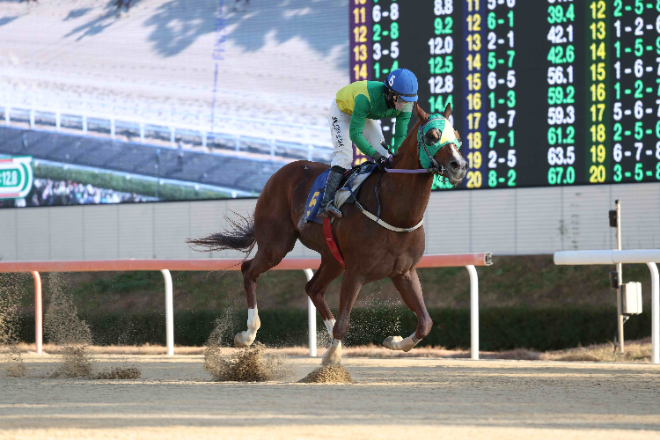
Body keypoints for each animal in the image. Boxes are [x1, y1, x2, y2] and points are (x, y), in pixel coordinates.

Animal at [189, 103, 468, 365]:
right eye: (432, 136)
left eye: (456, 134)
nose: (460, 166)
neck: (393, 210)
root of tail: (281, 172)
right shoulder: (356, 271)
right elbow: (344, 323)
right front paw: (329, 358)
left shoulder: (404, 272)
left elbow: (425, 323)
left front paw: (394, 341)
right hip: (276, 245)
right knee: (249, 271)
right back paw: (247, 334)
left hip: (332, 258)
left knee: (313, 288)